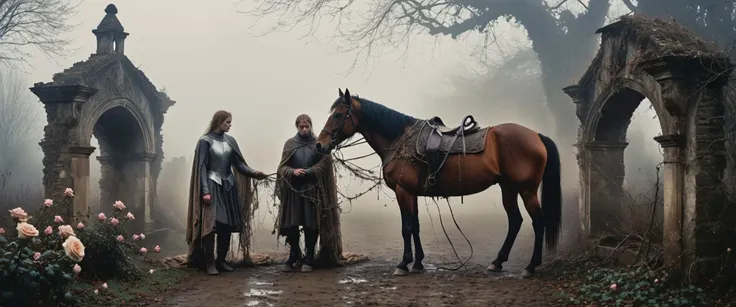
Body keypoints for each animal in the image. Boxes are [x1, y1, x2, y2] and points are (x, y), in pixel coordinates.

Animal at [316, 88, 564, 278]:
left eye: (338, 115)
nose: (319, 144)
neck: (398, 140)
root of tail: (536, 135)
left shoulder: (403, 192)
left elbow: (406, 228)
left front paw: (403, 264)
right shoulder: (412, 193)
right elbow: (415, 226)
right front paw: (417, 263)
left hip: (526, 190)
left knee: (538, 222)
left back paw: (530, 267)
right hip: (509, 189)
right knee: (515, 221)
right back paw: (497, 262)